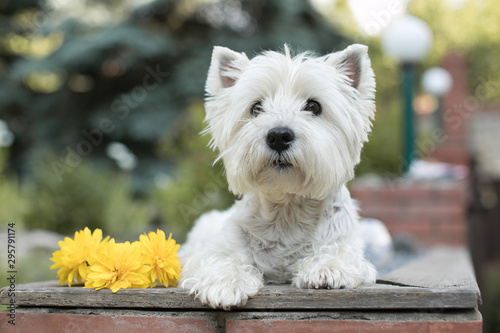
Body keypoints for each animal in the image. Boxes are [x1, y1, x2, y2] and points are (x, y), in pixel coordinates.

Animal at [178, 43, 376, 308]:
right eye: (256, 108)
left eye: (314, 106)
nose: (279, 135)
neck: (287, 210)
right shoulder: (214, 250)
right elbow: (220, 259)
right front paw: (224, 284)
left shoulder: (347, 244)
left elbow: (339, 253)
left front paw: (327, 269)